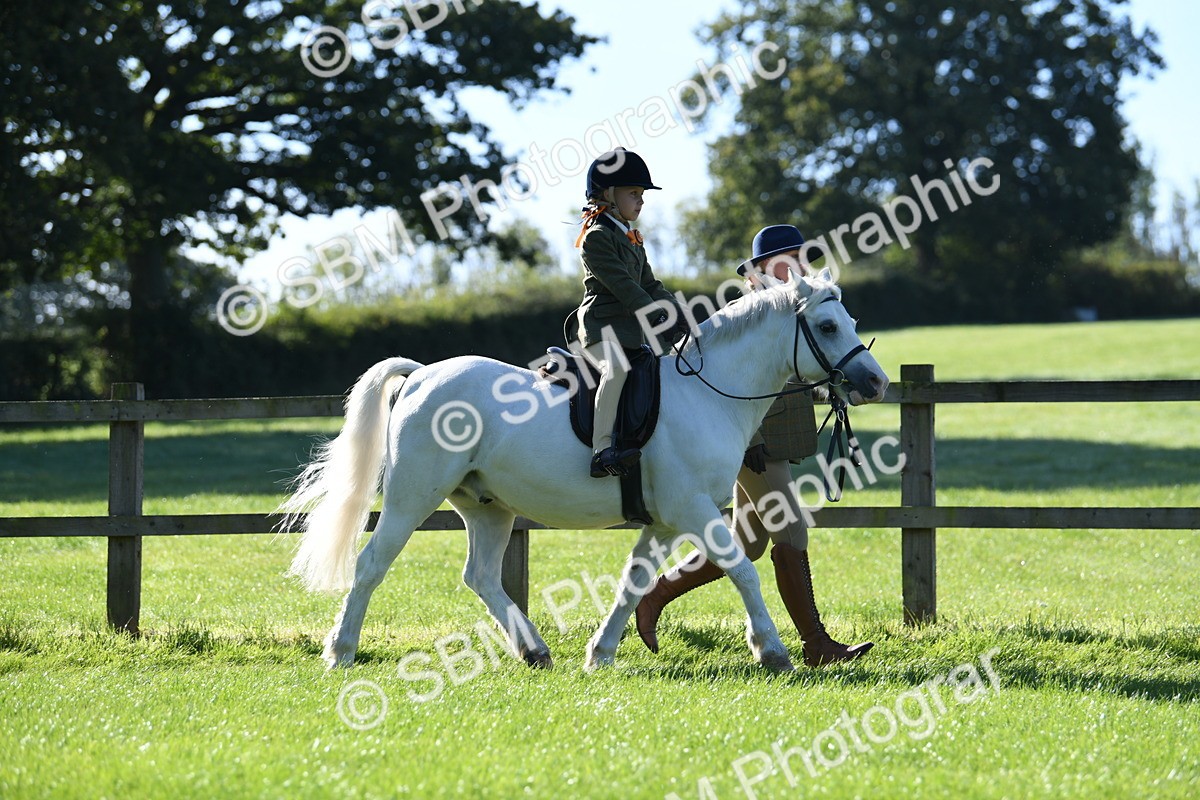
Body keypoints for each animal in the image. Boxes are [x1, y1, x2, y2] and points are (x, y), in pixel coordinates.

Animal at [281, 268, 889, 671]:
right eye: (828, 326)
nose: (876, 383)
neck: (709, 392)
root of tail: (423, 374)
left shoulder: (663, 521)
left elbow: (633, 583)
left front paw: (601, 653)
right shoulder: (693, 510)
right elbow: (742, 570)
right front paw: (773, 651)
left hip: (487, 507)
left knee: (480, 576)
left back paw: (534, 650)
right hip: (413, 497)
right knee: (371, 565)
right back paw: (340, 651)